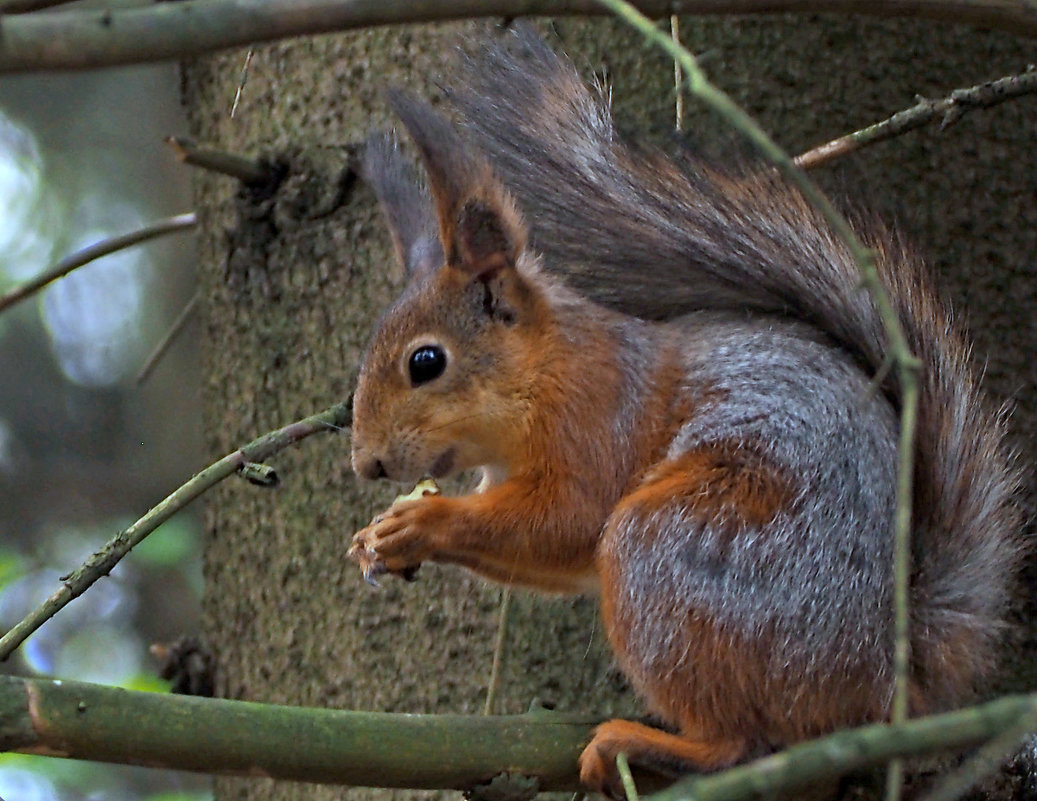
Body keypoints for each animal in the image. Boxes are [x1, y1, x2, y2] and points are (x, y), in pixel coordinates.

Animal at [346, 23, 1020, 792]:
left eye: (425, 362)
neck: (545, 371)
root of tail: (883, 674)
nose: (365, 464)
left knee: (740, 742)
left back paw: (641, 742)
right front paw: (378, 537)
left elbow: (565, 520)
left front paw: (422, 523)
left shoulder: (596, 419)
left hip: (673, 551)